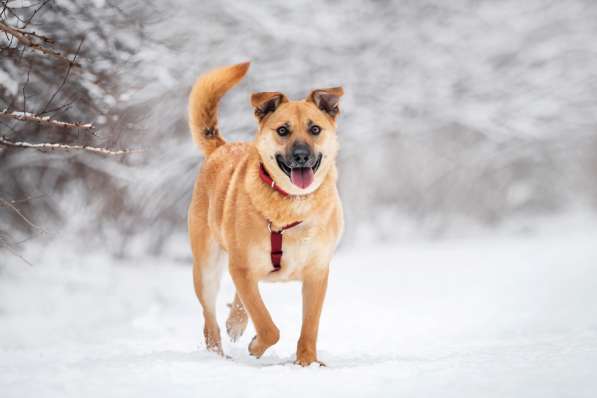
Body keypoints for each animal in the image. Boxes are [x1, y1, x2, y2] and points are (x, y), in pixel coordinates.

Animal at [186, 63, 344, 366]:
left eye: (315, 129)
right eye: (282, 130)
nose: (301, 156)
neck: (291, 203)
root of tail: (221, 146)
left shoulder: (317, 273)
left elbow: (310, 326)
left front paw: (307, 362)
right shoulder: (242, 267)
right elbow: (268, 326)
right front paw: (256, 346)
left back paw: (236, 321)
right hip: (207, 268)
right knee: (210, 321)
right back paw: (219, 353)